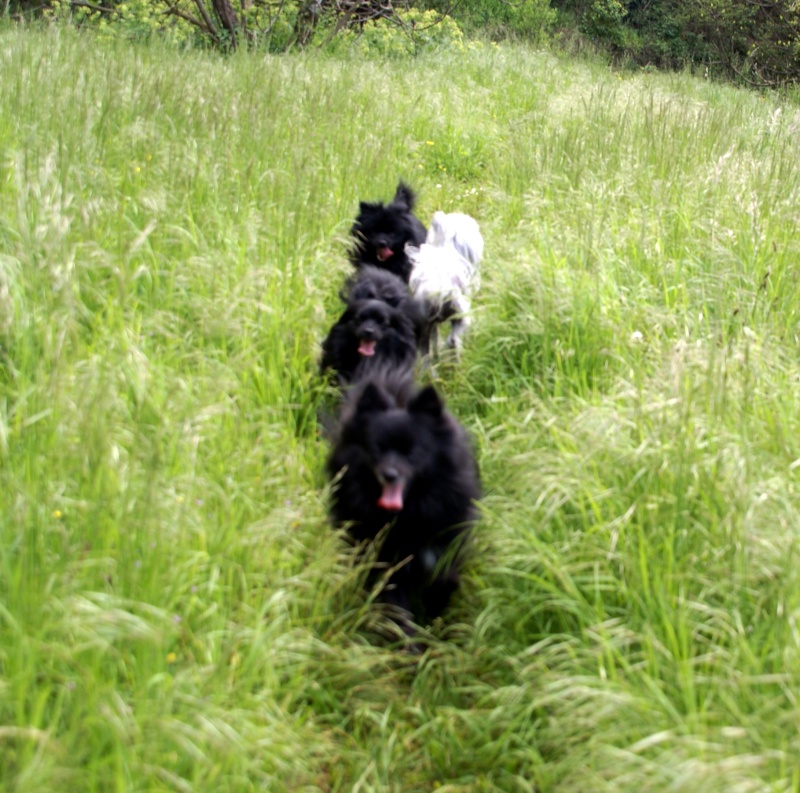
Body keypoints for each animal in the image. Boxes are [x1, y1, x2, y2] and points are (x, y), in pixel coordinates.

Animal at [326, 368, 478, 640]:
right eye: (377, 449)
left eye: (412, 451)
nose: (389, 474)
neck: (407, 516)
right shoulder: (386, 566)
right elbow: (398, 615)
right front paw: (412, 647)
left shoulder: (446, 548)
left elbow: (444, 582)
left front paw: (435, 628)